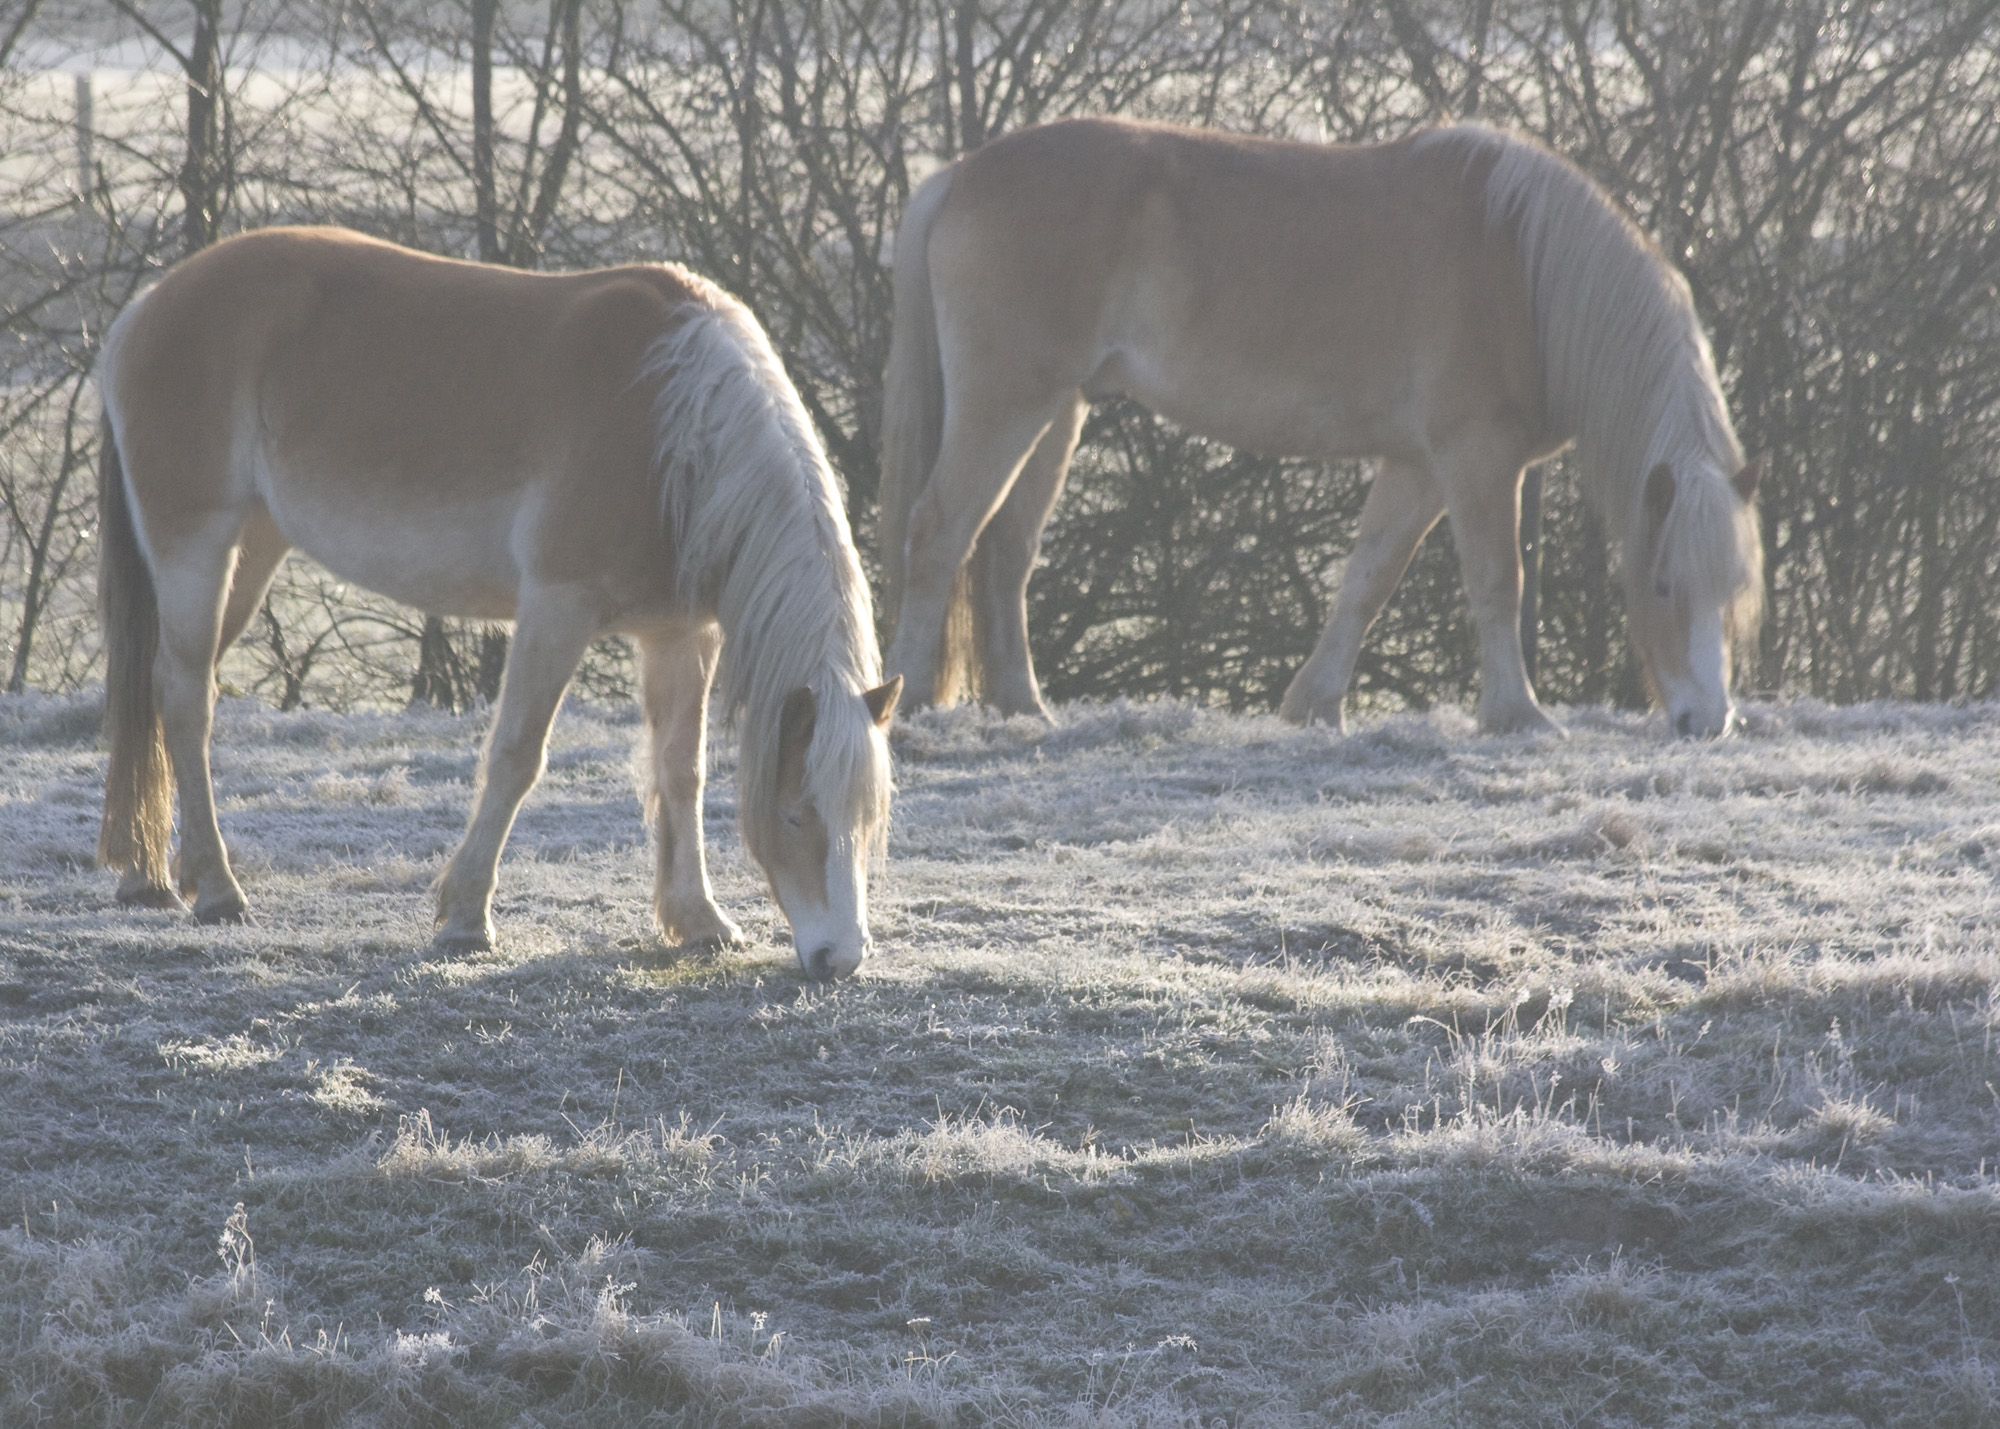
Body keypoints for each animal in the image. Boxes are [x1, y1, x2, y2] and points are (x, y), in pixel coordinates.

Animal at [96, 227, 900, 978]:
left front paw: (699, 919)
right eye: (795, 815)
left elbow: (681, 769)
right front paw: (466, 919)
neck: (672, 423)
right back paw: (218, 891)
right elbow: (517, 756)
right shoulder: (557, 609)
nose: (841, 958)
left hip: (253, 548)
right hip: (197, 545)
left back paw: (152, 876)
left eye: (865, 820)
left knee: (167, 691)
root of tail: (144, 308)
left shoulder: (681, 635)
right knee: (186, 698)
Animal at [878, 117, 1763, 738]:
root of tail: (959, 174)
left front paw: (1315, 704)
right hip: (1008, 402)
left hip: (1058, 409)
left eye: (1734, 590)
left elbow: (1367, 579)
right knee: (939, 531)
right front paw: (1519, 714)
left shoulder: (1417, 464)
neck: (1523, 267)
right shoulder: (1476, 457)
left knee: (1006, 549)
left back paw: (1024, 706)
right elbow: (1497, 582)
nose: (1708, 722)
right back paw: (913, 698)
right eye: (1663, 584)